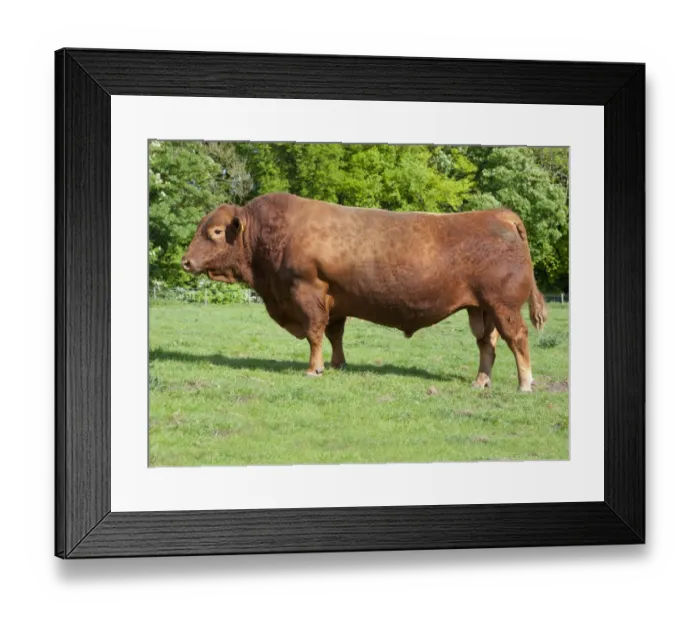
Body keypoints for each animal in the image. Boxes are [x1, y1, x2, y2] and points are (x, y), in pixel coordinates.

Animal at [181, 192, 548, 391]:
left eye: (215, 231)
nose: (185, 261)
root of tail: (499, 214)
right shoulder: (335, 300)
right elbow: (334, 334)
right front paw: (338, 365)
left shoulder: (307, 292)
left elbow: (315, 333)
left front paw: (314, 369)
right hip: (481, 309)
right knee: (487, 344)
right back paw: (480, 381)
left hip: (504, 306)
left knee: (517, 338)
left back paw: (525, 384)